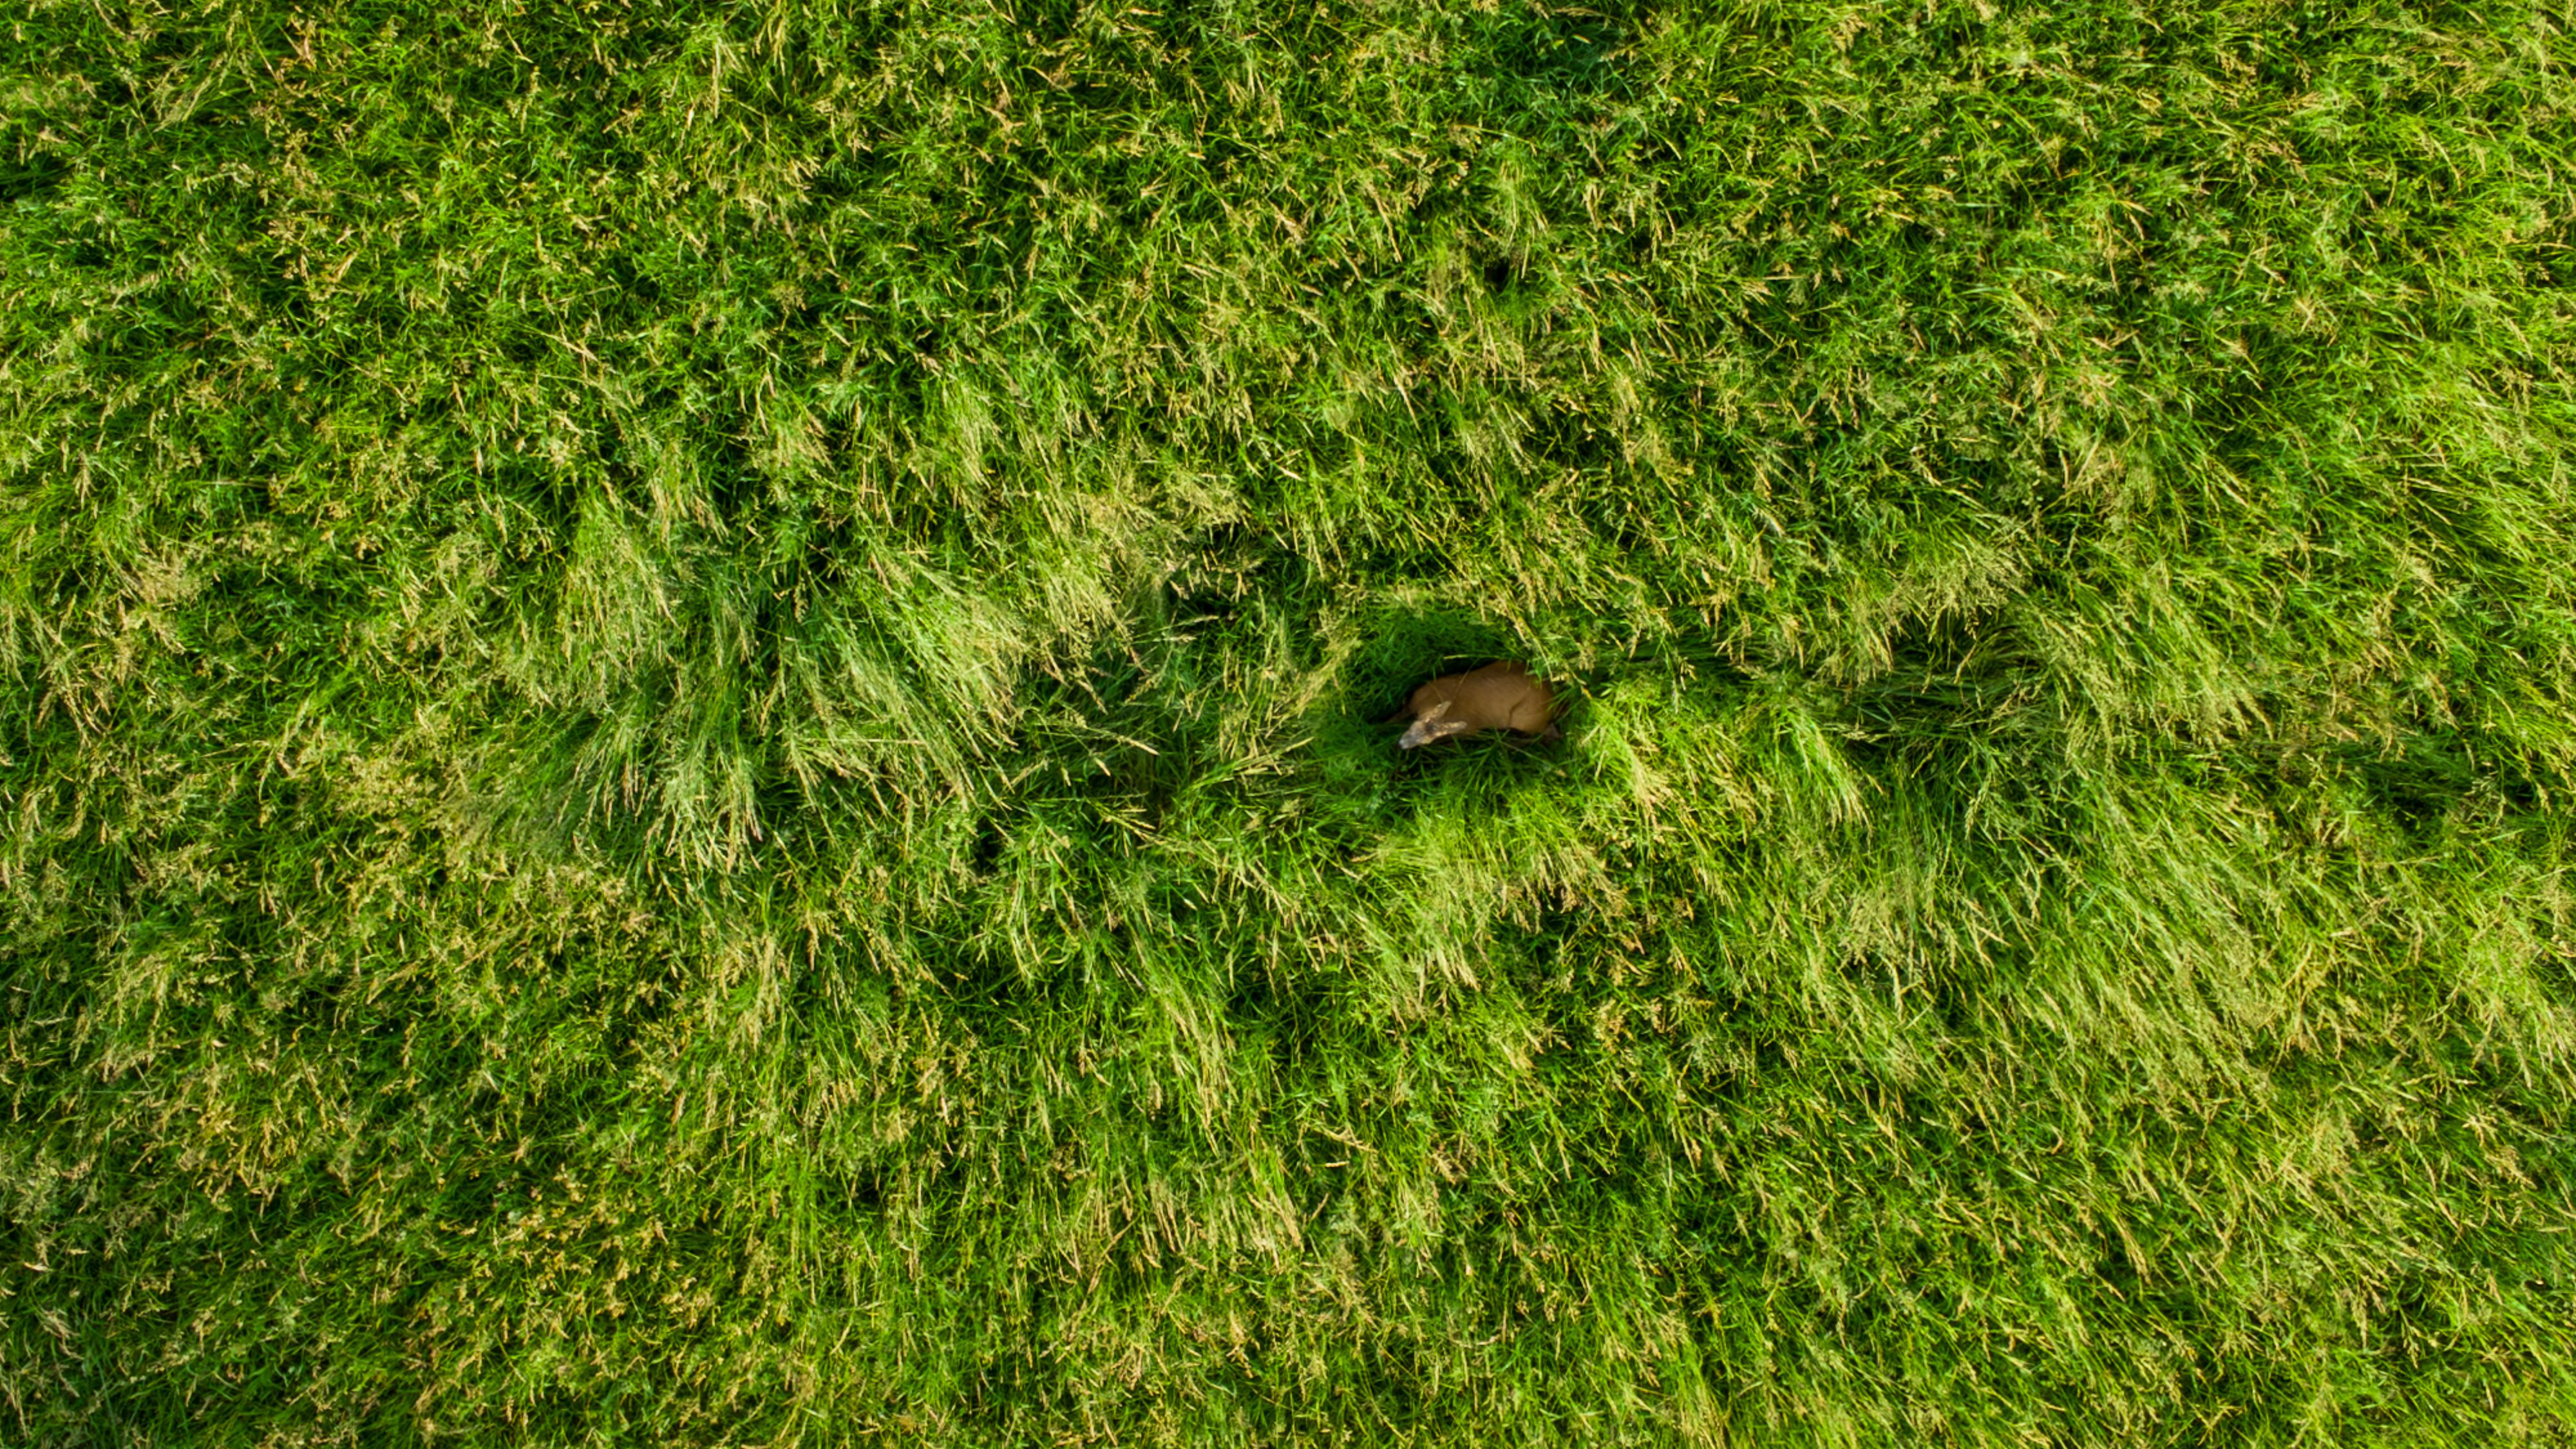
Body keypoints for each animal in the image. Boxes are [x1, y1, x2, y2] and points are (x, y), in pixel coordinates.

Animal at [1381, 662, 1562, 749]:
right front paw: (1379, 726)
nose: (1401, 745)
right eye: (1416, 724)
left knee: (1550, 732)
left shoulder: (1469, 731)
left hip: (1524, 720)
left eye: (1426, 743)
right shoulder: (1415, 700)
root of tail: (1554, 698)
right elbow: (1397, 715)